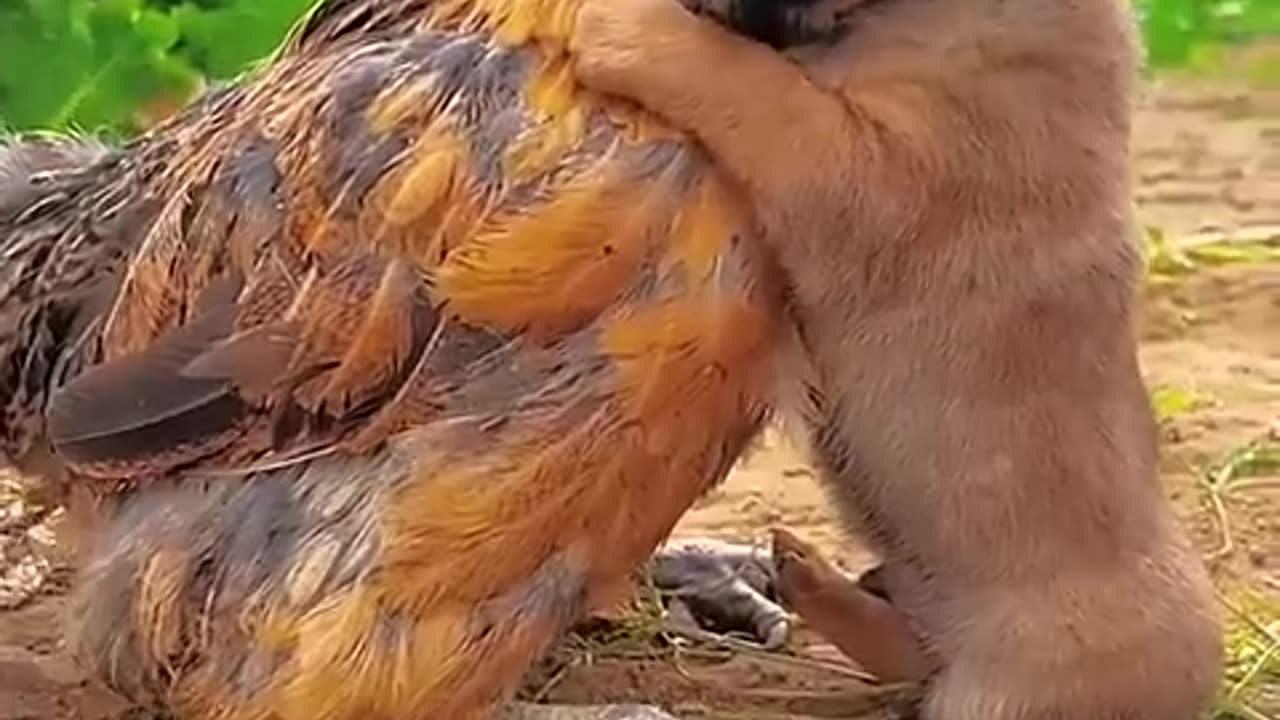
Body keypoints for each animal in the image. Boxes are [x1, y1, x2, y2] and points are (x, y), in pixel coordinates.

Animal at [568, 0, 1218, 712]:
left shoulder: (868, 165)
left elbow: (758, 85)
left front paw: (637, 32)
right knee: (906, 652)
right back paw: (807, 575)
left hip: (1003, 695)